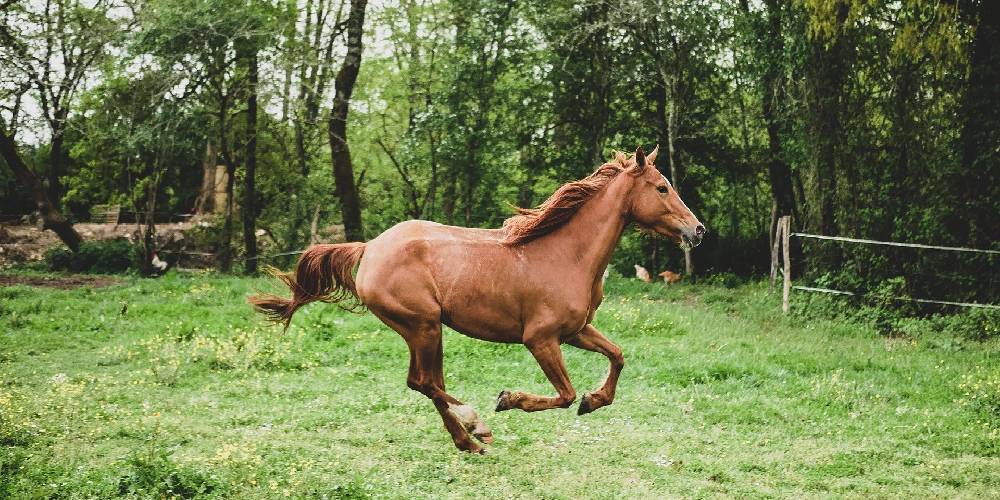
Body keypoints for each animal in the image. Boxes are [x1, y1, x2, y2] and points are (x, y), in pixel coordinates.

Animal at [250, 146, 705, 453]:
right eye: (662, 187)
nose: (697, 230)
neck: (566, 255)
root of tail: (370, 248)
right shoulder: (540, 339)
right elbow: (564, 394)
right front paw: (510, 399)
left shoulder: (576, 331)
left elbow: (618, 356)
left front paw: (595, 401)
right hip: (422, 326)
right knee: (426, 383)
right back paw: (476, 428)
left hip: (427, 331)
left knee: (427, 383)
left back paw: (468, 438)